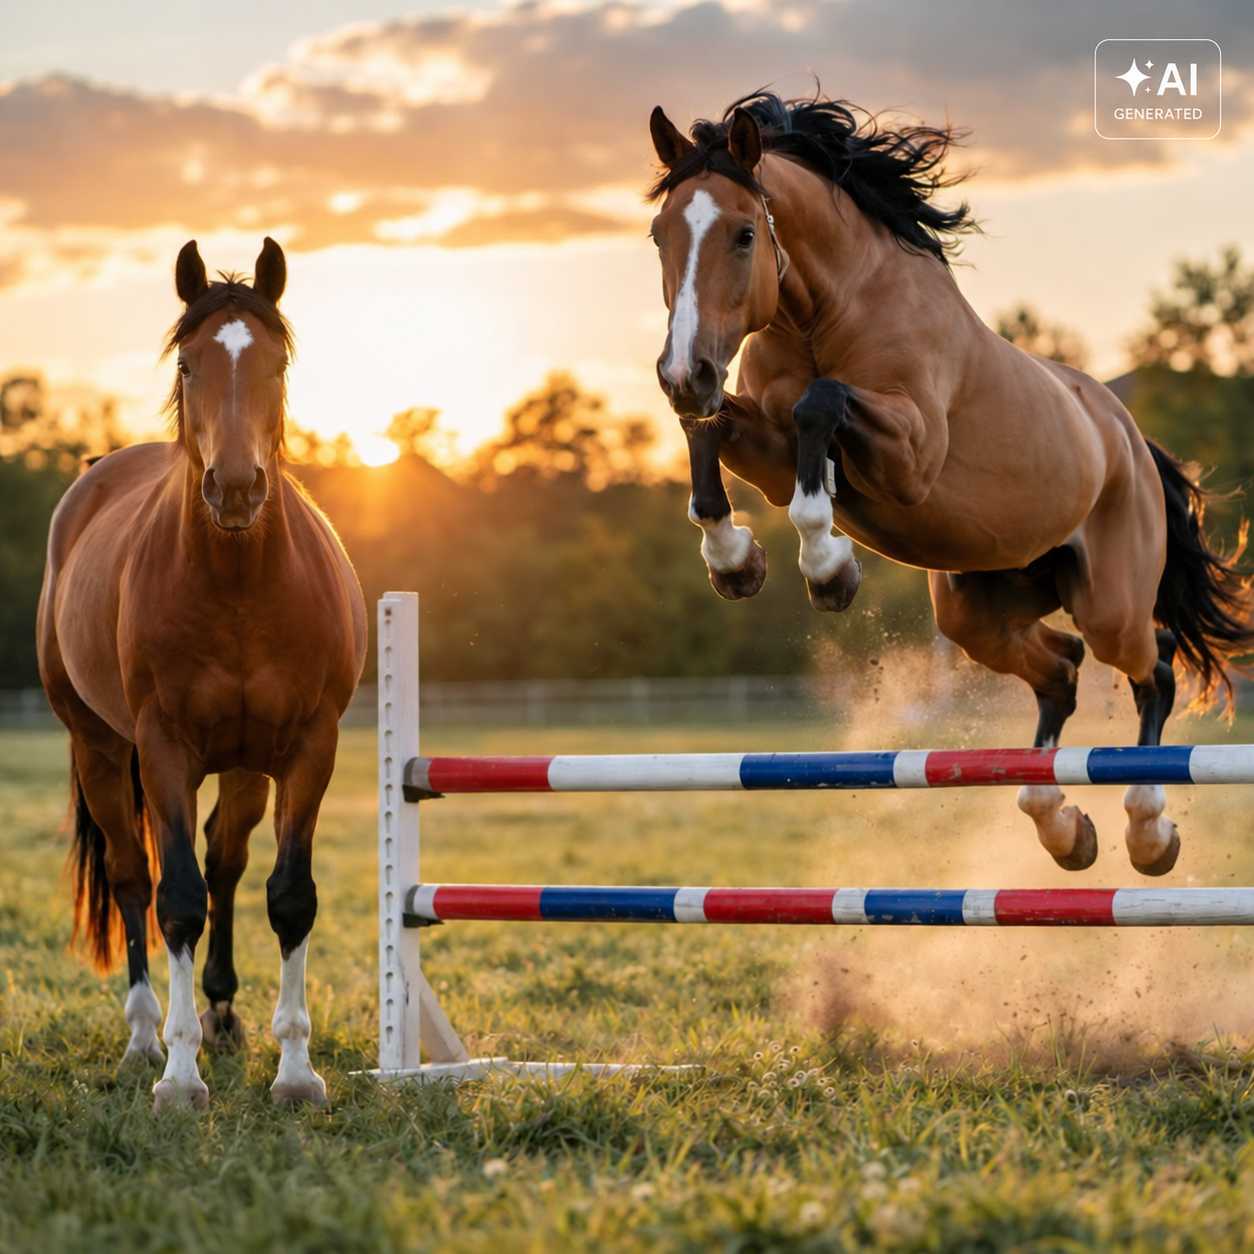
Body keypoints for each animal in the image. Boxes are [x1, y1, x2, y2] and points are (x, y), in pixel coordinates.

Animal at [37, 238, 367, 1109]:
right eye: (189, 364)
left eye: (277, 363)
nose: (237, 486)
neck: (241, 586)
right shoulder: (166, 750)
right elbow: (175, 899)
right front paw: (179, 1077)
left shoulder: (307, 749)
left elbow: (287, 897)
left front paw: (296, 1072)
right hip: (100, 748)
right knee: (133, 878)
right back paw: (144, 1038)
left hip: (246, 764)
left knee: (224, 861)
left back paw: (220, 1013)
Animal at [646, 92, 1253, 876]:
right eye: (659, 235)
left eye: (746, 234)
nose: (682, 373)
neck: (826, 309)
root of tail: (1129, 440)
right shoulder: (772, 454)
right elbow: (709, 430)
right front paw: (734, 562)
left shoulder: (909, 455)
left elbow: (821, 406)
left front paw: (828, 569)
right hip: (978, 610)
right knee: (1061, 669)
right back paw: (1061, 827)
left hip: (1110, 605)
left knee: (1157, 667)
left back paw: (1148, 833)